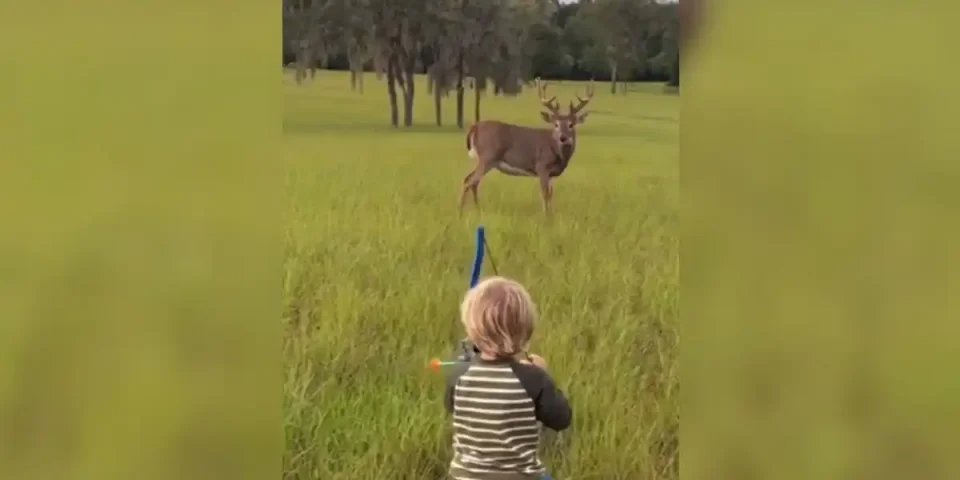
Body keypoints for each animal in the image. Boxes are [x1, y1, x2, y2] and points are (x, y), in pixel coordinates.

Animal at [459, 80, 595, 217]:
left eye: (571, 124)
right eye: (556, 124)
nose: (563, 137)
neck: (557, 152)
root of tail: (475, 127)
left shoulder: (551, 174)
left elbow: (550, 195)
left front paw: (551, 215)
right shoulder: (541, 166)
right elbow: (545, 194)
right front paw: (546, 217)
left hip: (487, 161)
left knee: (470, 180)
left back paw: (477, 210)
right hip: (487, 157)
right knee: (469, 182)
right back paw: (460, 212)